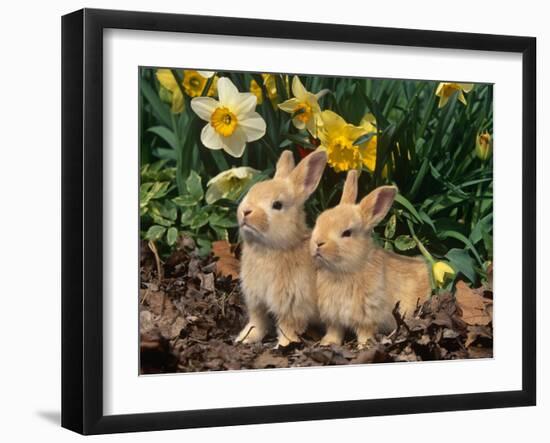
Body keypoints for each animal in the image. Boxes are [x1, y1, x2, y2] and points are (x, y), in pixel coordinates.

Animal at [236, 151, 328, 348]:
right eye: (251, 191)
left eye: (277, 205)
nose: (245, 211)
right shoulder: (256, 301)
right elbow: (257, 323)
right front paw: (244, 338)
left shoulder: (291, 305)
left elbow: (287, 328)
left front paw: (283, 346)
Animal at [310, 172, 432, 348]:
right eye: (319, 221)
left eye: (347, 233)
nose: (318, 243)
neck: (345, 270)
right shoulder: (334, 317)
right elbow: (335, 331)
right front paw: (327, 343)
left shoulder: (368, 316)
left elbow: (364, 333)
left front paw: (363, 346)